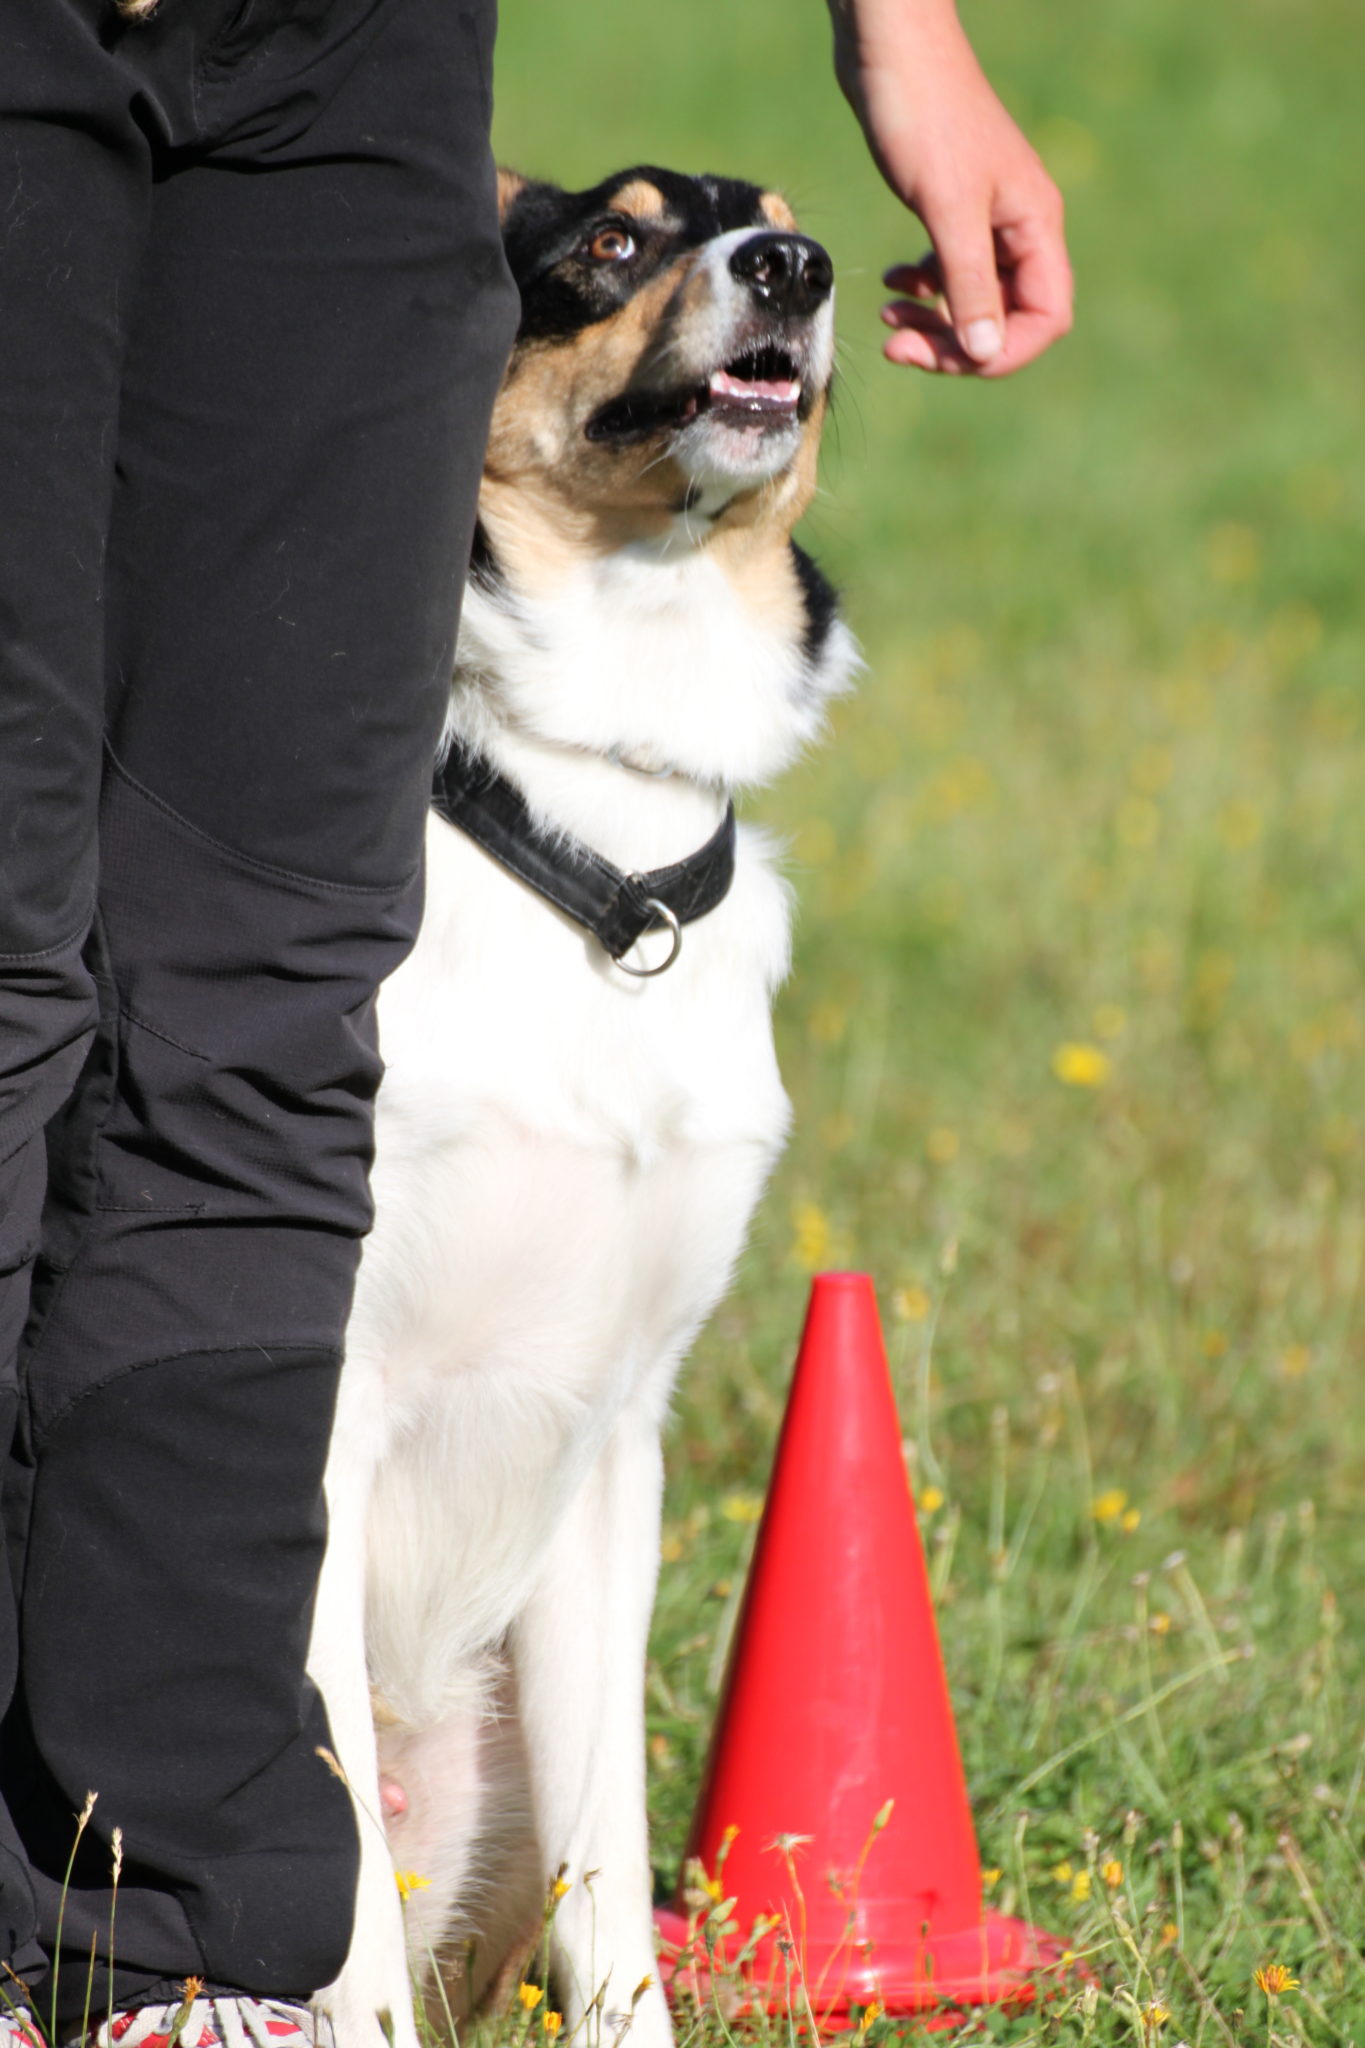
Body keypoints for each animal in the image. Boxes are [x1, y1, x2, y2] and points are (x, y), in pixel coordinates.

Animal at [313, 167, 855, 2048]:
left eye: (783, 214)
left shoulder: (616, 1436)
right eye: (610, 242)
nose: (796, 268)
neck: (594, 852)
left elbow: (610, 1880)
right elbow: (335, 1905)